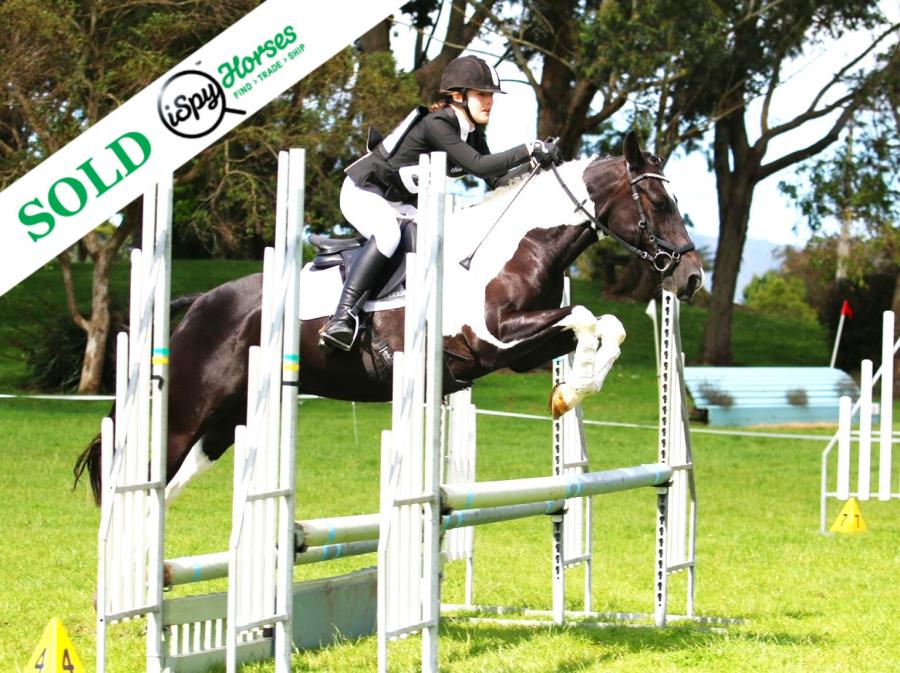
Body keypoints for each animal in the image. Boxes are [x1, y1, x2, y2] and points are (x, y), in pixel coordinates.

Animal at [74, 131, 703, 504]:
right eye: (660, 202)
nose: (691, 278)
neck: (516, 245)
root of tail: (198, 305)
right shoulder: (494, 341)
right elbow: (587, 315)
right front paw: (572, 389)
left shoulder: (521, 348)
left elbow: (604, 325)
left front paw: (572, 389)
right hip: (185, 414)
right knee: (128, 476)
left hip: (221, 430)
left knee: (163, 487)